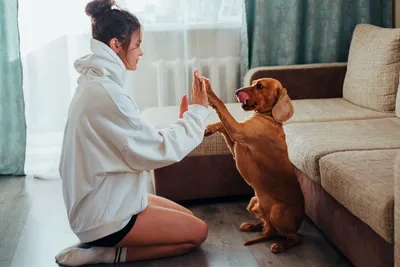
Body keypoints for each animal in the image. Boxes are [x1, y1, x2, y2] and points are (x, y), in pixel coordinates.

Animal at [205, 78, 304, 255]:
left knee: (294, 237)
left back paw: (280, 245)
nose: (237, 91)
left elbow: (222, 106)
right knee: (266, 224)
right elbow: (222, 124)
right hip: (253, 201)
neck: (269, 116)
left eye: (259, 86)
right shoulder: (235, 143)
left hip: (277, 212)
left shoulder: (238, 131)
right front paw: (210, 128)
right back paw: (252, 226)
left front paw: (209, 91)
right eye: (253, 82)